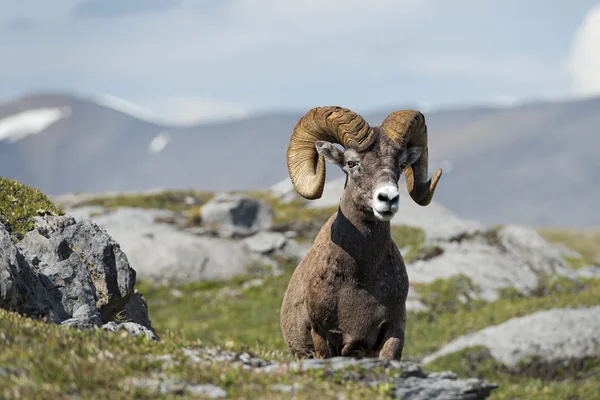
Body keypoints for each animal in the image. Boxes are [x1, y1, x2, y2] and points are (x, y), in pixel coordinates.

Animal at [278, 105, 442, 360]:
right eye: (351, 163)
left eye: (400, 165)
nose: (388, 199)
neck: (359, 276)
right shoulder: (322, 336)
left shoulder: (393, 331)